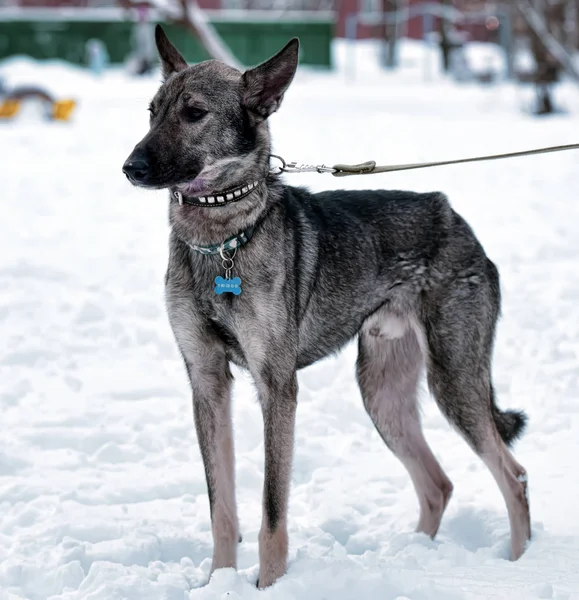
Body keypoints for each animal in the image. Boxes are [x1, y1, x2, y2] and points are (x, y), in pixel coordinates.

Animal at [124, 25, 532, 588]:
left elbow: (272, 509)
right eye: (152, 110)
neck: (221, 240)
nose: (131, 167)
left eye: (194, 113)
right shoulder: (206, 382)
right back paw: (415, 556)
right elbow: (221, 507)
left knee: (513, 476)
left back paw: (519, 566)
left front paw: (268, 586)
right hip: (382, 394)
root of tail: (455, 219)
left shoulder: (277, 387)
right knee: (438, 484)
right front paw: (217, 583)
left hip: (452, 379)